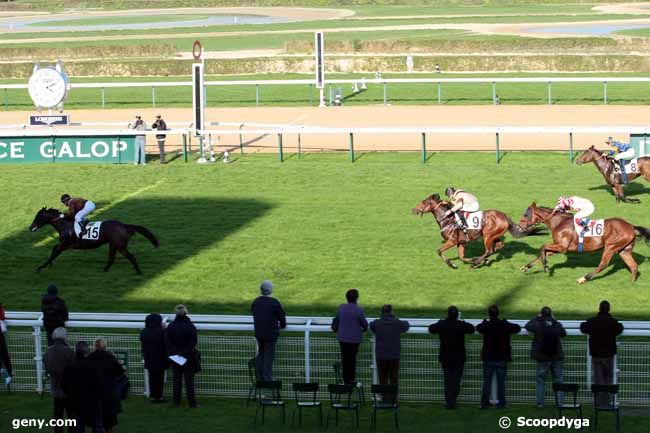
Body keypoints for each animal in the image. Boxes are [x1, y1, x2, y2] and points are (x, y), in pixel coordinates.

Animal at [29, 207, 159, 274]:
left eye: (38, 217)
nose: (31, 227)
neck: (65, 225)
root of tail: (124, 225)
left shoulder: (64, 245)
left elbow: (54, 253)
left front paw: (40, 267)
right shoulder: (63, 244)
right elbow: (53, 250)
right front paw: (48, 265)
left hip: (120, 246)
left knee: (131, 257)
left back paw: (138, 272)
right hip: (114, 245)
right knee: (112, 258)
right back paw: (105, 270)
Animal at [516, 202, 648, 284]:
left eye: (526, 214)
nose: (519, 227)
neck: (558, 222)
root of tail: (631, 226)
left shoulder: (562, 247)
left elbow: (543, 247)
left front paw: (546, 267)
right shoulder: (557, 247)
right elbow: (542, 253)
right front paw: (526, 267)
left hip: (611, 247)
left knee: (603, 264)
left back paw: (583, 279)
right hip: (624, 250)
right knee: (633, 266)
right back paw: (631, 283)